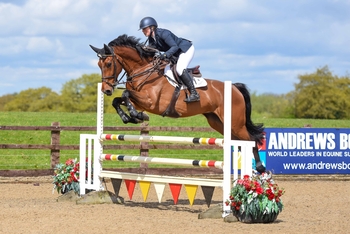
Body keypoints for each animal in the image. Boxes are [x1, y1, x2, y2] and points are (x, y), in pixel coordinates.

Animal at [89, 34, 266, 174]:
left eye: (109, 64)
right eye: (99, 65)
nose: (106, 90)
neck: (144, 71)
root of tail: (234, 87)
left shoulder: (150, 102)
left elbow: (125, 94)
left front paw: (135, 116)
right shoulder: (140, 101)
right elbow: (118, 100)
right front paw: (129, 117)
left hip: (235, 123)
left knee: (250, 140)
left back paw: (260, 168)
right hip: (218, 122)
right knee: (239, 142)